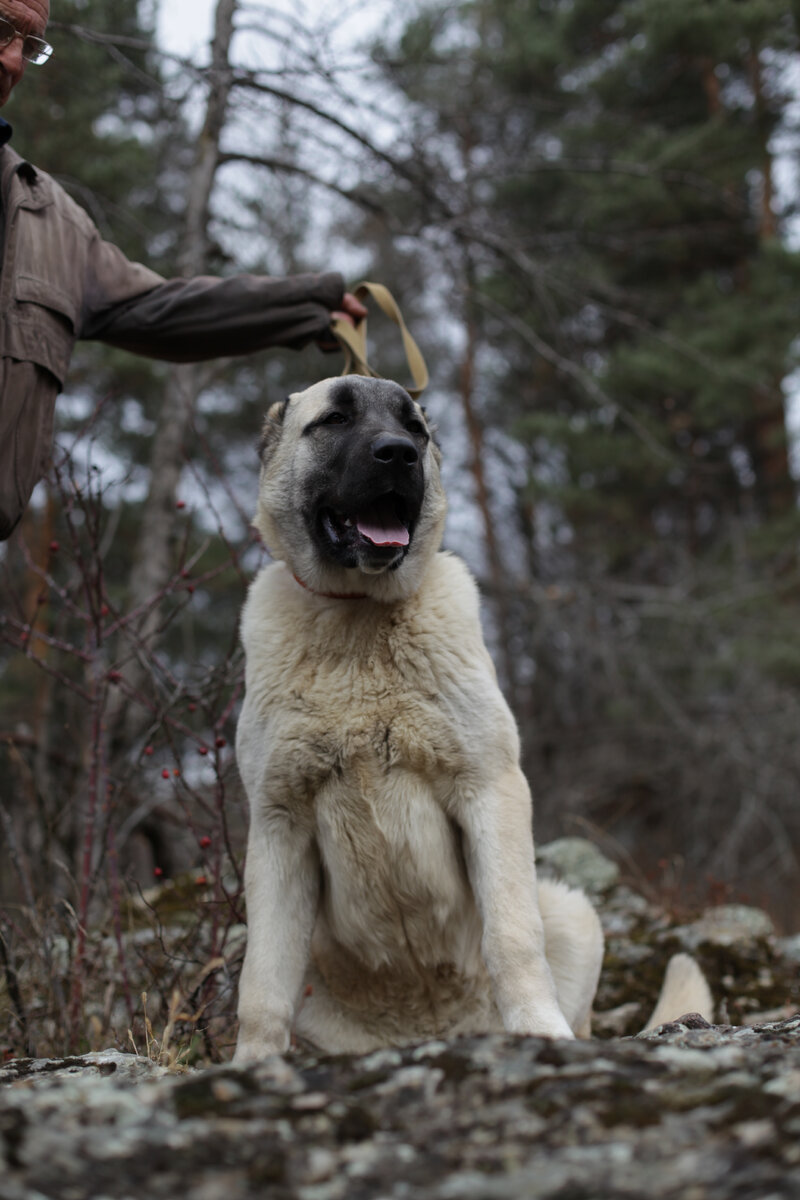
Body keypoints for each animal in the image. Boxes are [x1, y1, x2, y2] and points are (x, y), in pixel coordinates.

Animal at [235, 374, 710, 1060]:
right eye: (335, 419)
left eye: (415, 427)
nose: (398, 455)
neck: (358, 619)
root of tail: (433, 1035)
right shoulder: (278, 825)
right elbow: (262, 986)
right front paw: (252, 1065)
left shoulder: (490, 789)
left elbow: (511, 936)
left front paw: (538, 1031)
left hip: (571, 911)